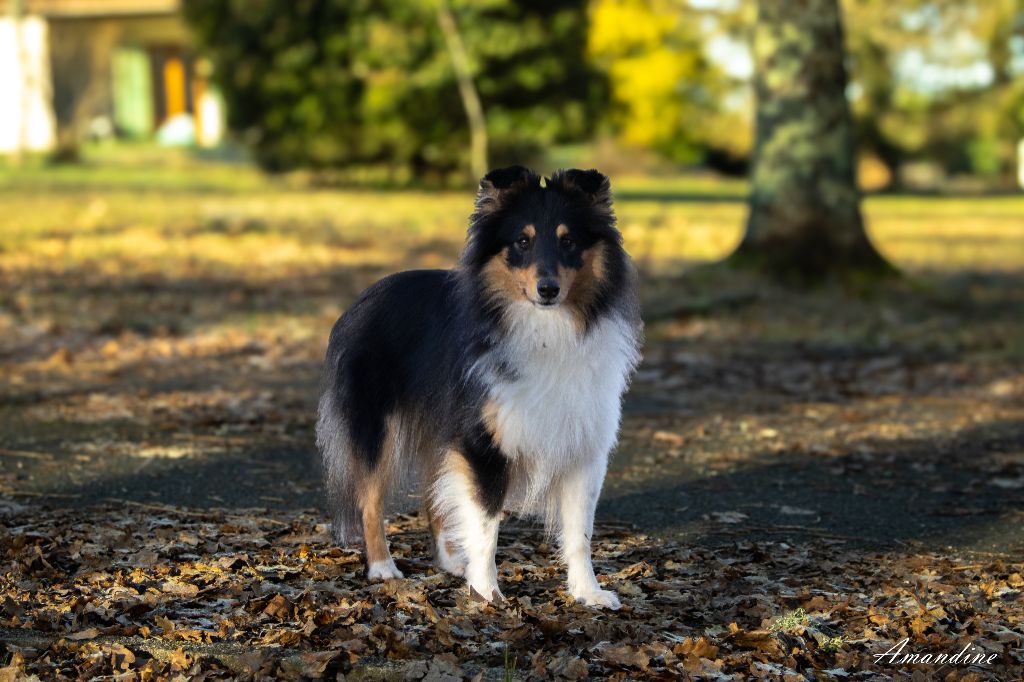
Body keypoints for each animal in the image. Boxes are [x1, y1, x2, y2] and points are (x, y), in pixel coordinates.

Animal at [315, 164, 643, 606]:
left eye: (569, 240)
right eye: (522, 241)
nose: (548, 289)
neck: (544, 329)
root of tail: (363, 298)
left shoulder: (581, 444)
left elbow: (580, 532)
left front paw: (588, 593)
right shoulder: (482, 441)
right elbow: (487, 524)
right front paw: (487, 592)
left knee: (434, 496)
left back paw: (452, 562)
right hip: (375, 426)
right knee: (370, 499)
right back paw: (383, 568)